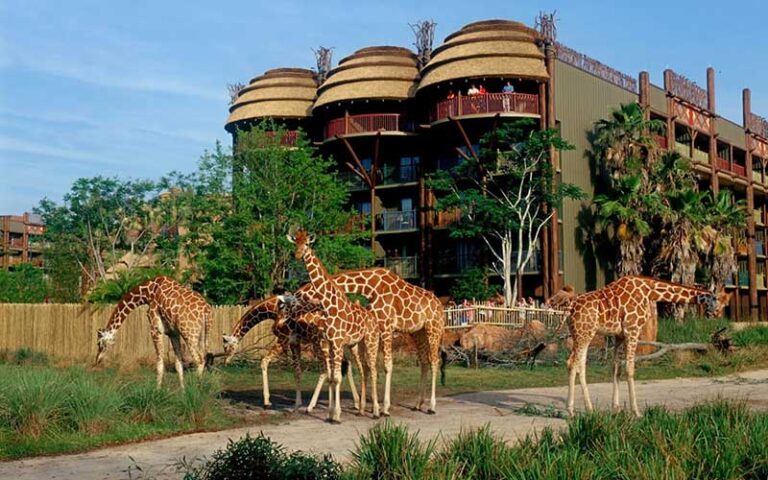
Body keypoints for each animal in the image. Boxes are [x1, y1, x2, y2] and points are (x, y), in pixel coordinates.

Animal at [219, 294, 364, 410]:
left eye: (226, 347)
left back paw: (319, 405)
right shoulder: (294, 343)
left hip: (321, 344)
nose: (226, 361)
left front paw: (267, 402)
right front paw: (298, 402)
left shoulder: (283, 339)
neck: (272, 309)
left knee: (330, 369)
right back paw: (355, 403)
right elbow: (297, 371)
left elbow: (264, 361)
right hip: (345, 345)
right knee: (347, 366)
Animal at [288, 231, 380, 422]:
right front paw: (330, 413)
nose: (298, 255)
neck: (328, 304)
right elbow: (331, 376)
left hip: (371, 340)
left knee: (374, 370)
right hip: (355, 344)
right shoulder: (329, 342)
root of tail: (373, 318)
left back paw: (376, 411)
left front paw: (336, 415)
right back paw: (361, 410)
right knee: (364, 370)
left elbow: (336, 377)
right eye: (295, 243)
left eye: (307, 244)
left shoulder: (337, 342)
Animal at [564, 276, 720, 418]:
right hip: (584, 334)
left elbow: (616, 368)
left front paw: (616, 409)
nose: (717, 312)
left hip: (580, 334)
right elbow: (629, 369)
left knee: (577, 364)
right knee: (573, 363)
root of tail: (570, 310)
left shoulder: (619, 335)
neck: (649, 292)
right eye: (715, 298)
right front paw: (636, 412)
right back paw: (573, 411)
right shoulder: (632, 330)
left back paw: (585, 409)